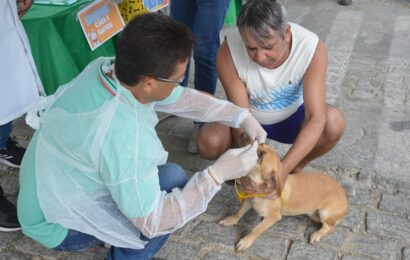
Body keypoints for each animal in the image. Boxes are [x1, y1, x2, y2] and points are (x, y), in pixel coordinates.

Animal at [219, 143, 348, 251]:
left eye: (262, 154)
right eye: (262, 143)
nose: (254, 140)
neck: (260, 190)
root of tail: (344, 195)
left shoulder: (273, 217)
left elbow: (257, 229)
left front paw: (246, 241)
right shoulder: (248, 200)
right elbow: (239, 212)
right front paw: (230, 220)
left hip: (325, 213)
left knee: (330, 227)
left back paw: (317, 234)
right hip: (314, 213)